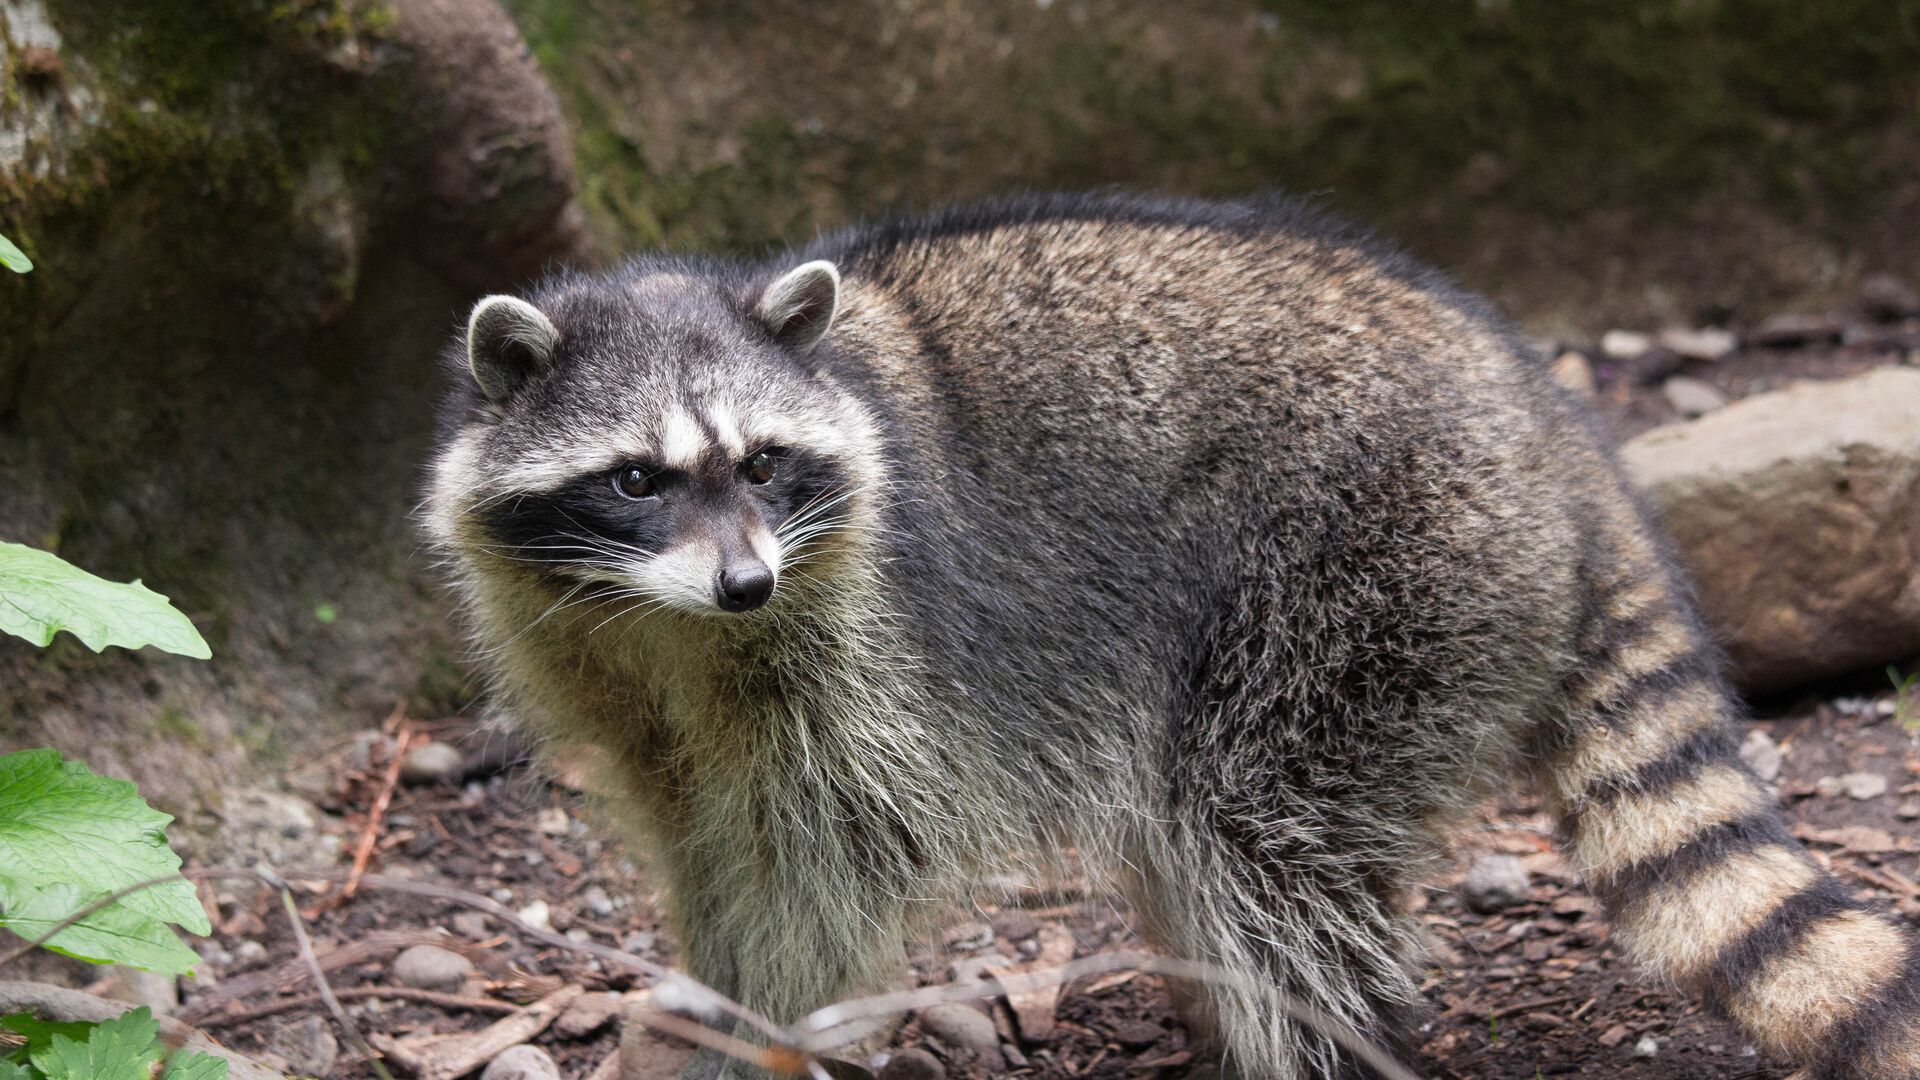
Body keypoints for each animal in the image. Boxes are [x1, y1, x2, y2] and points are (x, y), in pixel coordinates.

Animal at [428, 193, 1920, 1076]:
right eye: (637, 479)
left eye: (762, 462)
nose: (741, 586)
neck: (667, 621)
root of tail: (1543, 417)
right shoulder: (602, 657)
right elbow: (698, 832)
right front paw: (702, 983)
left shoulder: (868, 644)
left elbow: (829, 856)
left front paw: (764, 1015)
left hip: (1367, 575)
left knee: (1266, 845)